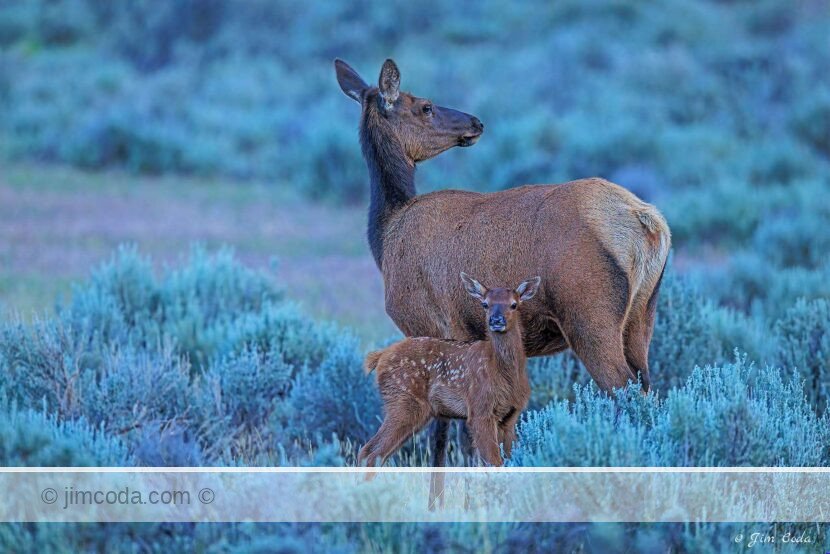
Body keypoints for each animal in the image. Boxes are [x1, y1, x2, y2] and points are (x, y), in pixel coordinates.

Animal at [359, 273, 541, 470]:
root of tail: (380, 356)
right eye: (485, 304)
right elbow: (493, 463)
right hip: (403, 401)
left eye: (514, 304)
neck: (503, 373)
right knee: (371, 453)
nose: (496, 321)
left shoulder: (511, 415)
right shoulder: (479, 409)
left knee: (372, 452)